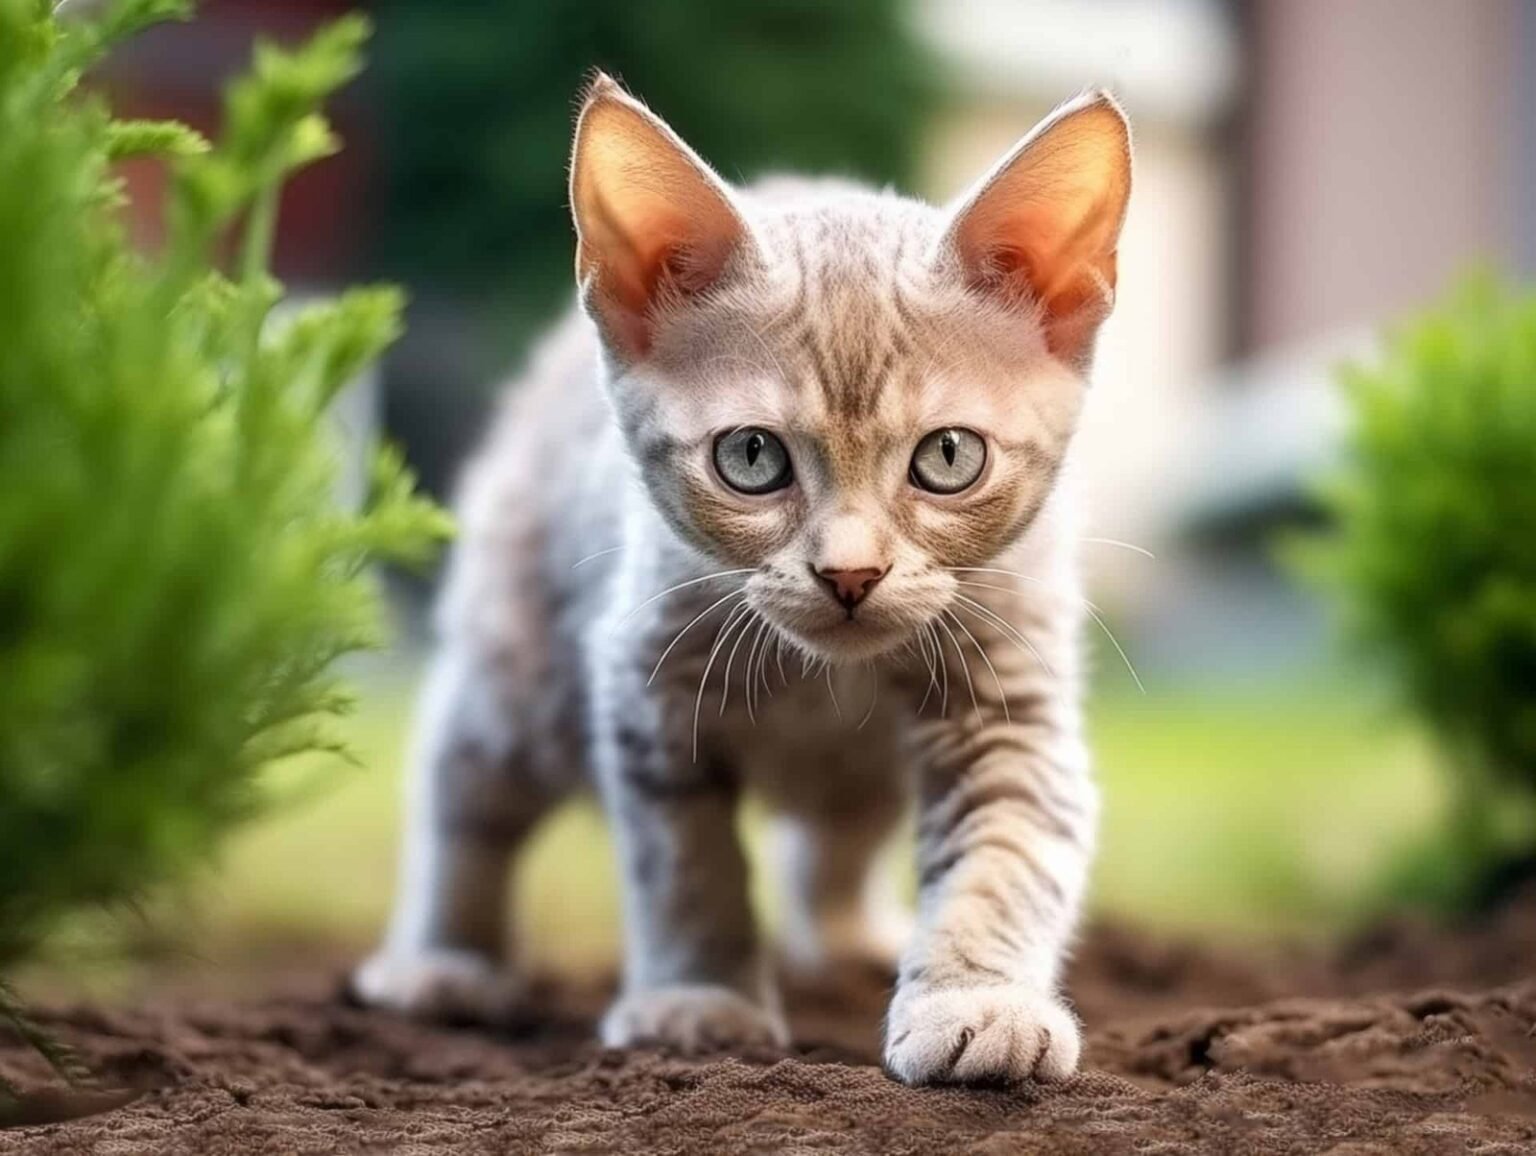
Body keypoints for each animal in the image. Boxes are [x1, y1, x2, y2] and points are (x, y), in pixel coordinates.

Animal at [356, 76, 1130, 1086]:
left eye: (948, 457)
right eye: (752, 457)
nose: (851, 572)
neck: (824, 677)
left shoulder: (1010, 699)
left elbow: (1007, 853)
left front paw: (977, 1000)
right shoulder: (645, 695)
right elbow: (689, 866)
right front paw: (701, 998)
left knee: (840, 831)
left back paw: (849, 937)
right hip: (517, 670)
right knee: (463, 794)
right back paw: (443, 960)